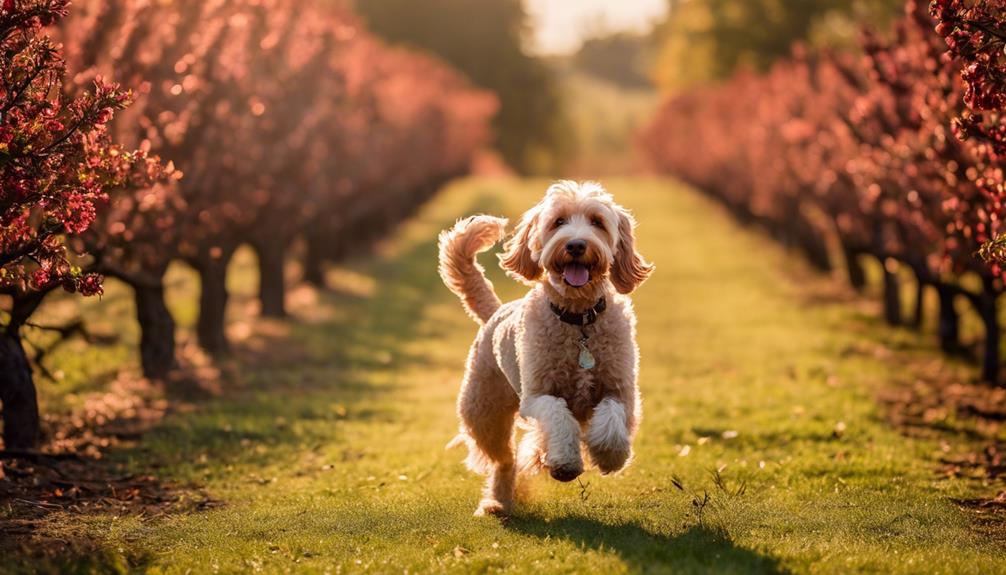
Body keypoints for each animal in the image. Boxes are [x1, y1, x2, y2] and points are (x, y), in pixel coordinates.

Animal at [438, 179, 655, 514]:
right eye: (558, 222)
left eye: (597, 222)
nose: (576, 245)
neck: (579, 322)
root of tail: (496, 311)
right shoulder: (537, 395)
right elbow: (557, 415)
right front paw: (565, 462)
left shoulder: (622, 390)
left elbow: (611, 416)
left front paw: (608, 455)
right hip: (484, 415)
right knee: (505, 460)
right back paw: (498, 500)